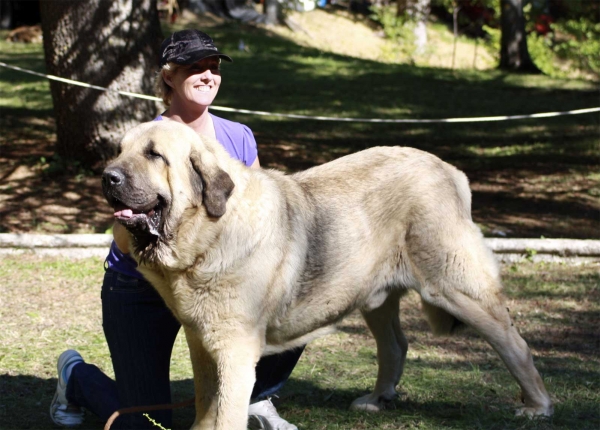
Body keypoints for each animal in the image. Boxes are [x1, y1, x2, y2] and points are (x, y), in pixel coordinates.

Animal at [101, 121, 552, 430]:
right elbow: (205, 404)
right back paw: (378, 399)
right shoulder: (202, 344)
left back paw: (537, 405)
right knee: (395, 345)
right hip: (376, 296)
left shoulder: (234, 349)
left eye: (154, 155)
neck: (208, 234)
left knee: (514, 343)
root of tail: (451, 172)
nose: (108, 176)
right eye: (119, 151)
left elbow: (225, 413)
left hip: (454, 287)